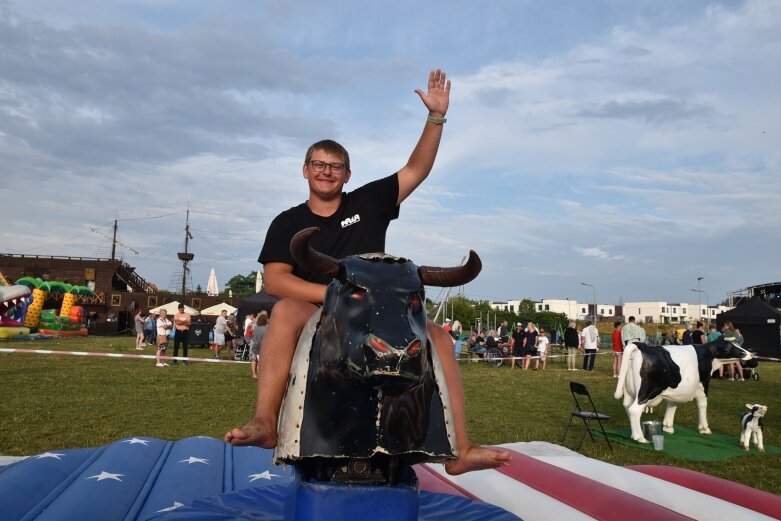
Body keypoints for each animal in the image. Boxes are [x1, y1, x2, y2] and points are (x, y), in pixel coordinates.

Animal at [616, 338, 748, 442]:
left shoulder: (676, 390)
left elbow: (672, 404)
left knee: (627, 407)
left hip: (629, 392)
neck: (707, 354)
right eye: (730, 347)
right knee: (634, 410)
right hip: (648, 391)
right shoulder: (703, 384)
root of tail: (641, 346)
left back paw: (634, 434)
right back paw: (640, 438)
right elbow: (702, 404)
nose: (750, 354)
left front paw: (668, 427)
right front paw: (704, 429)